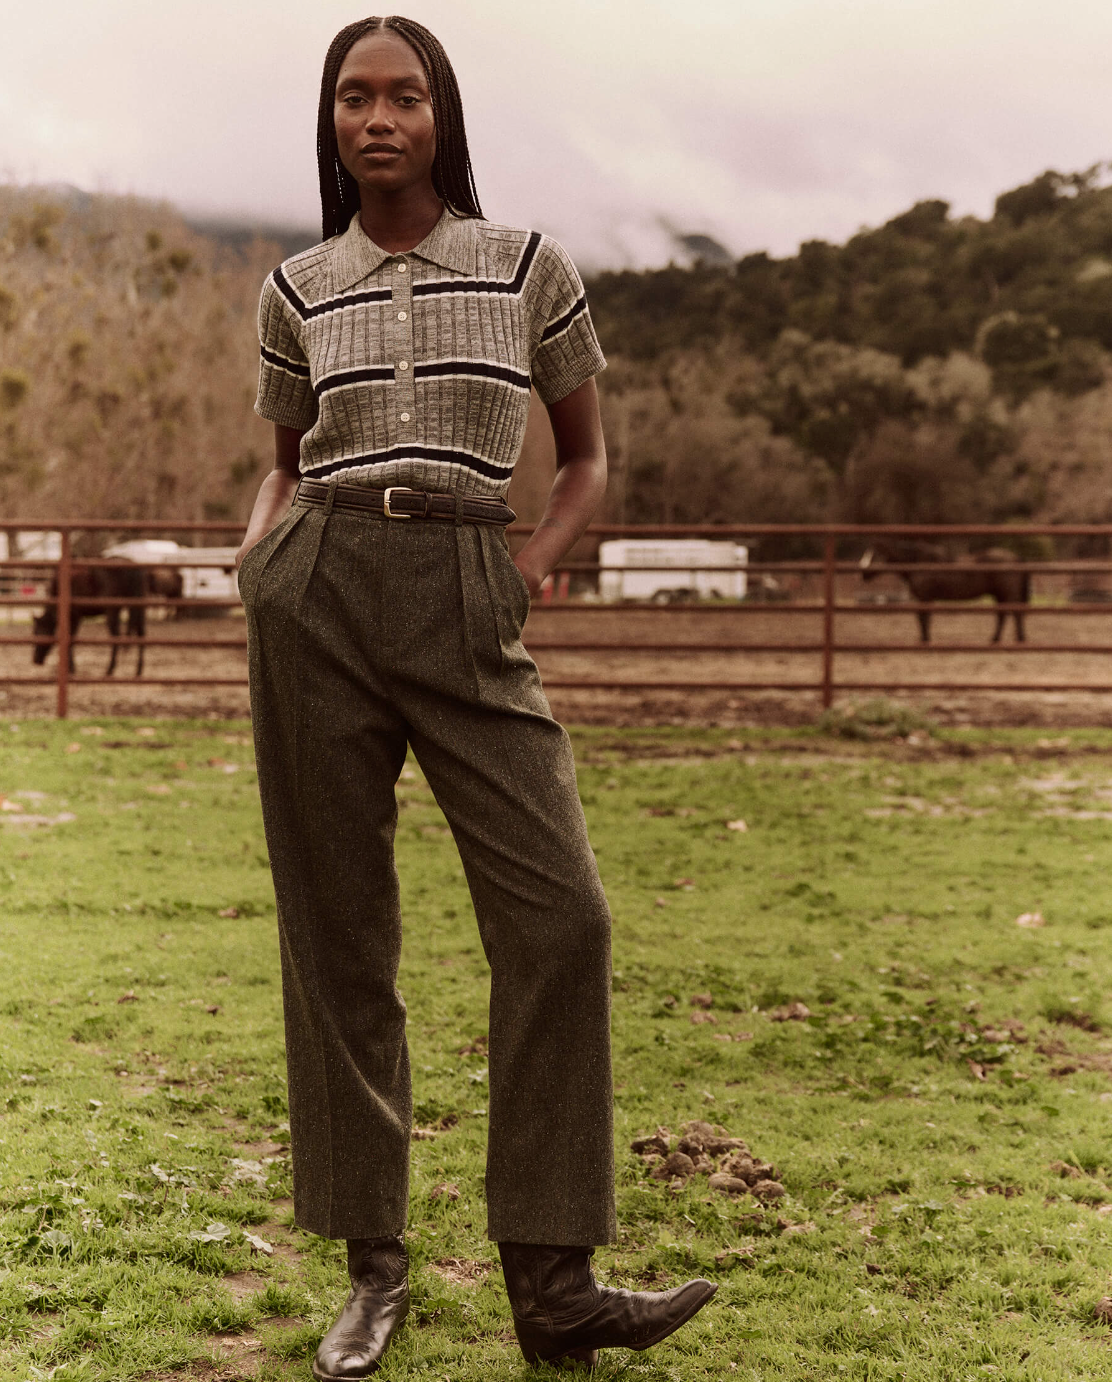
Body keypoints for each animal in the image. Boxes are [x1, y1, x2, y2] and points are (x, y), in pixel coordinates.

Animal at [32, 563, 182, 677]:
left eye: (38, 632)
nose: (35, 660)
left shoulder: (74, 615)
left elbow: (71, 639)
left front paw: (71, 669)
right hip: (138, 607)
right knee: (141, 633)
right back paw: (138, 671)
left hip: (112, 611)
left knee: (116, 636)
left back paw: (110, 669)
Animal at [856, 541, 1033, 644]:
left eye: (874, 556)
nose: (862, 572)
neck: (919, 561)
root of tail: (1016, 557)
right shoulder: (924, 598)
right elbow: (923, 617)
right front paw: (925, 637)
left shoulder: (924, 597)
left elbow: (923, 617)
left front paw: (925, 639)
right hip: (999, 595)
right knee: (1003, 616)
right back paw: (995, 639)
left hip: (1007, 594)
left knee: (1015, 614)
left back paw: (1019, 639)